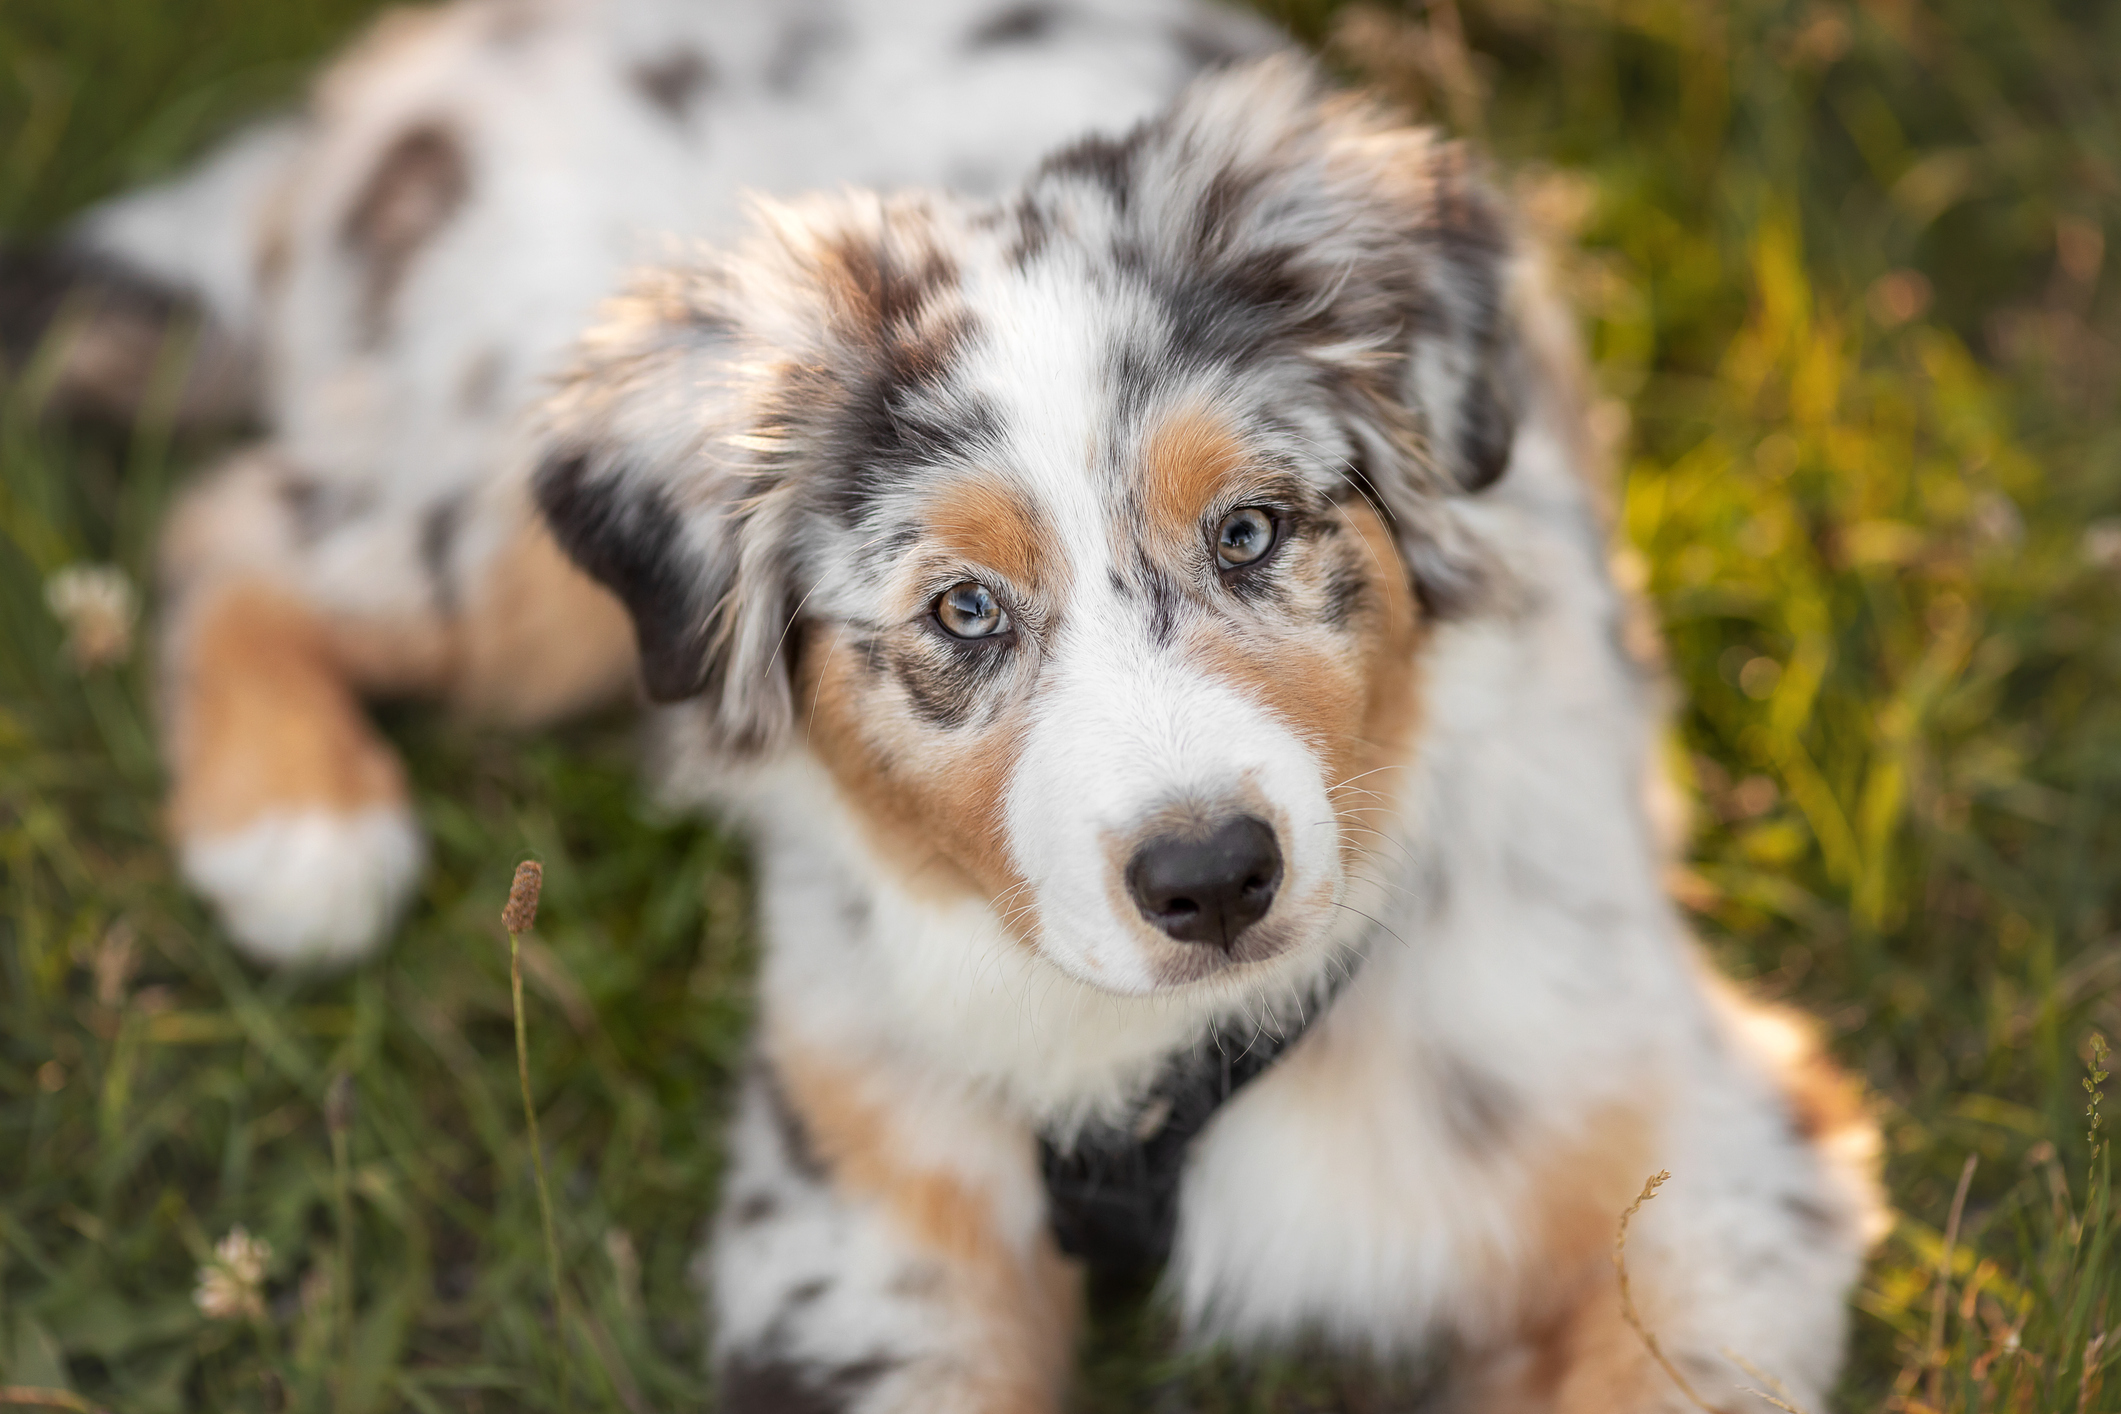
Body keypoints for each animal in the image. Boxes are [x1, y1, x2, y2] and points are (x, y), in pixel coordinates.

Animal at [8, 0, 1883, 1407]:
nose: (1213, 877)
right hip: (509, 508)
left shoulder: (1706, 1164)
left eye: (1252, 529)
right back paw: (296, 833)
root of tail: (424, 60)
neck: (1167, 1063)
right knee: (239, 521)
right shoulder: (862, 1229)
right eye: (961, 611)